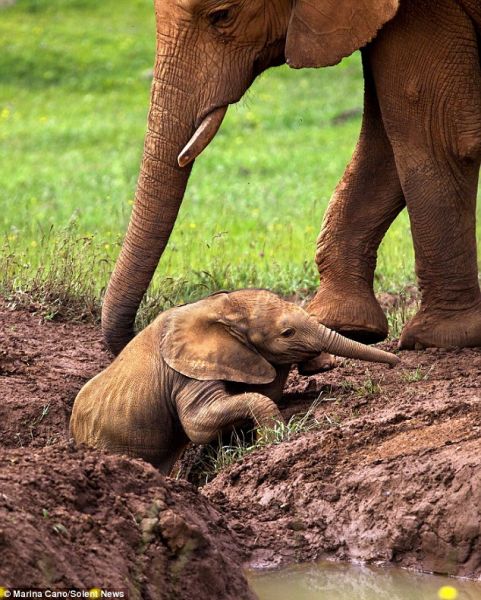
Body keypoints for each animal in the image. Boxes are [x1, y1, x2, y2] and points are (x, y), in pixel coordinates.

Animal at [70, 290, 398, 474]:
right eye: (287, 333)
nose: (396, 362)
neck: (220, 308)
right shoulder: (187, 372)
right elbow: (198, 425)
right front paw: (270, 439)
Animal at [101, 0, 480, 356]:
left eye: (222, 16)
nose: (137, 335)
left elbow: (437, 137)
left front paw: (440, 339)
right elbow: (385, 149)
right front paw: (342, 325)